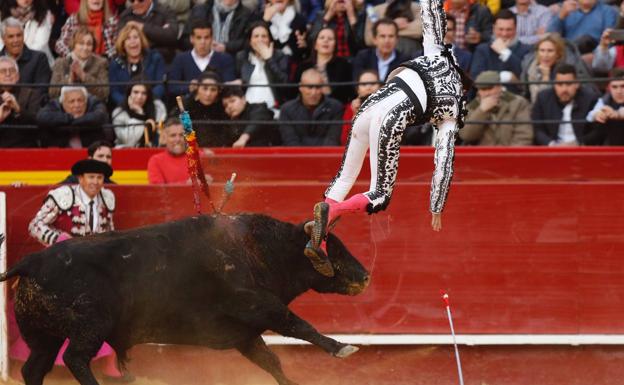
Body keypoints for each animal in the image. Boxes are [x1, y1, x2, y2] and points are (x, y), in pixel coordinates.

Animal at [0, 213, 370, 384]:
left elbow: (272, 362)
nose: (366, 276)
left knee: (35, 367)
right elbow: (299, 325)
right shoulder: (258, 305)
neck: (259, 251)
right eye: (330, 248)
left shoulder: (245, 335)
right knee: (75, 358)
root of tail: (31, 262)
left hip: (44, 336)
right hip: (90, 327)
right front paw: (342, 348)